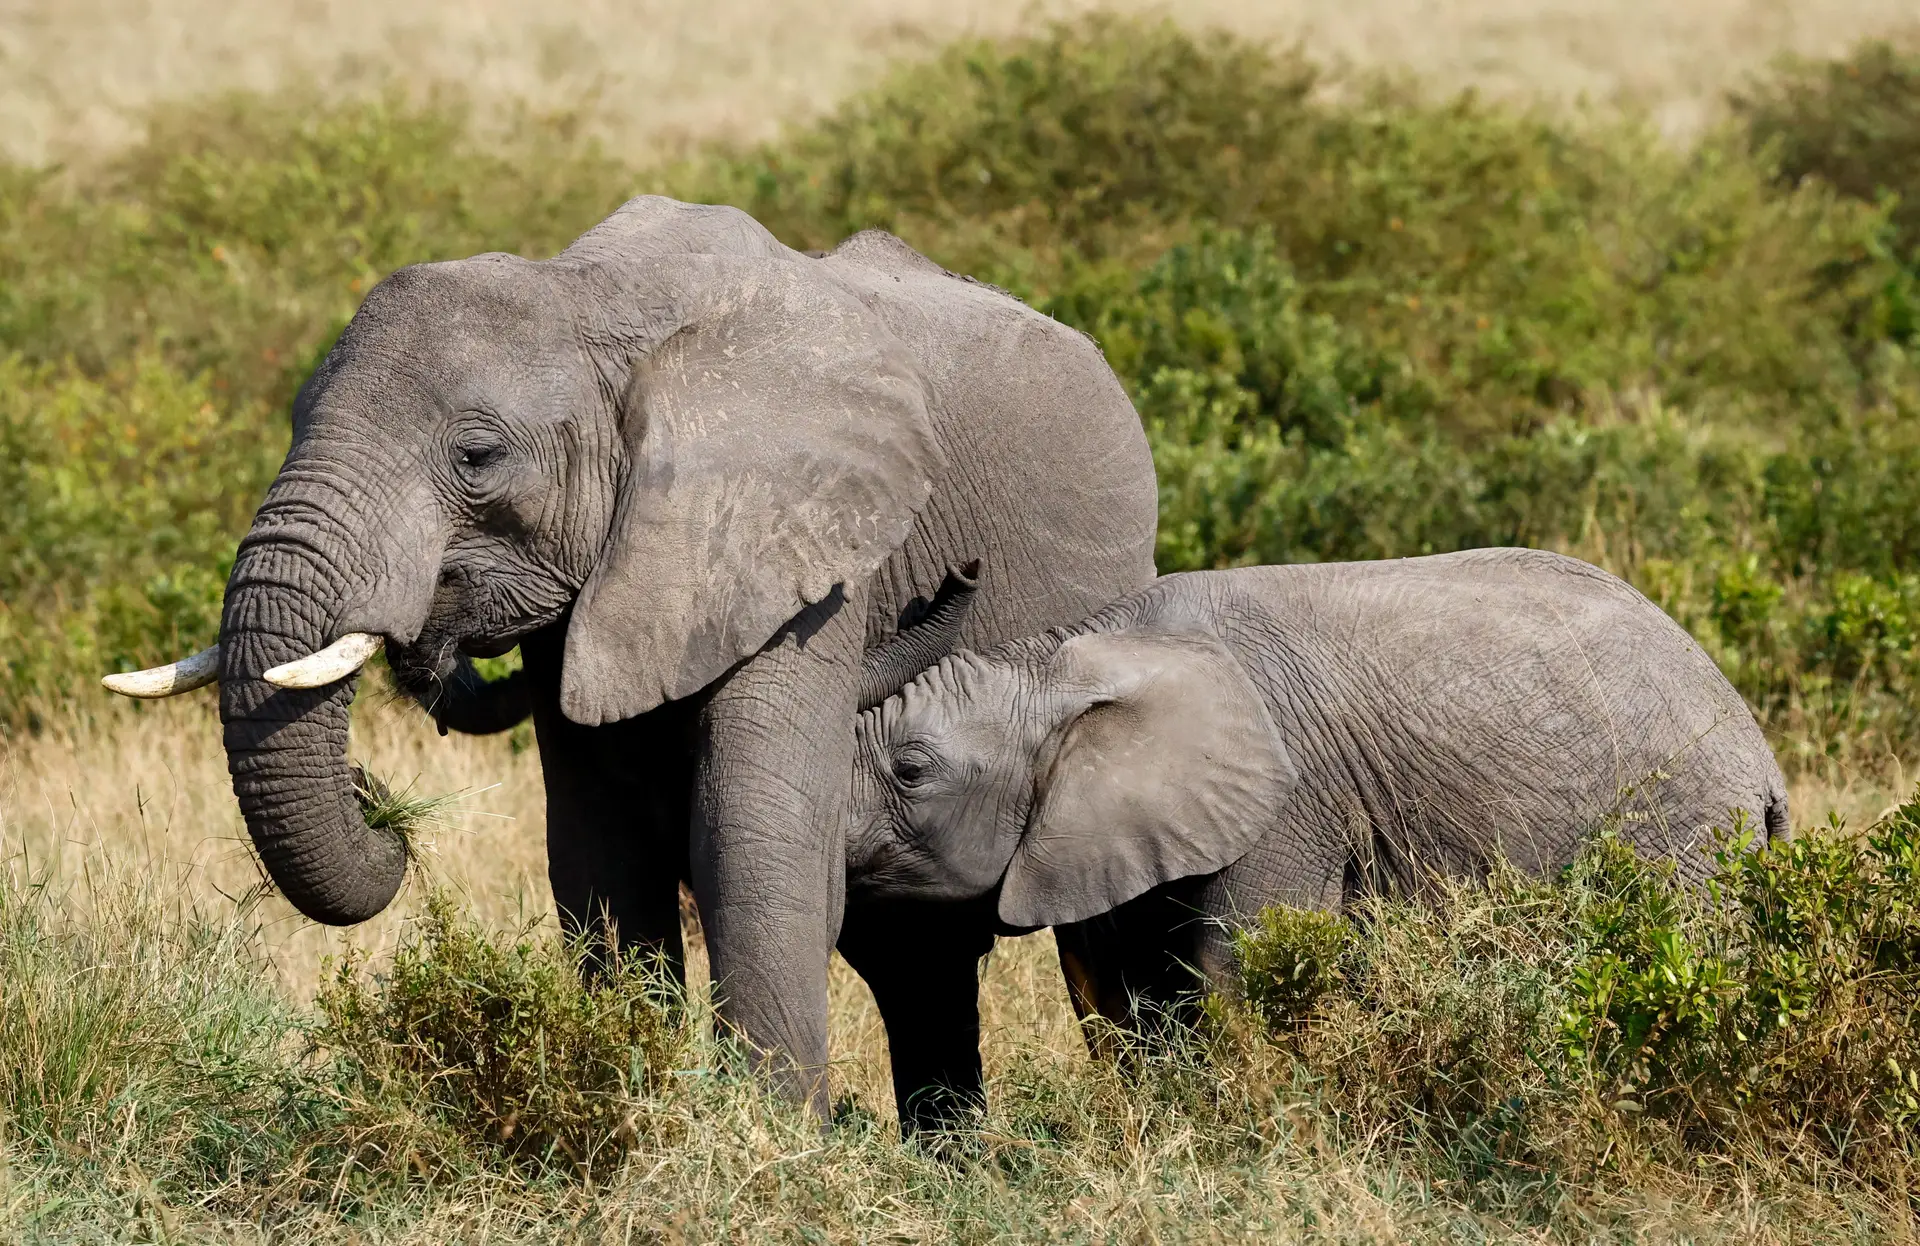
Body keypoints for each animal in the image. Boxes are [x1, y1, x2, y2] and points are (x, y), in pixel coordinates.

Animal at [103, 195, 1160, 1128]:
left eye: (477, 457)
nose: (382, 804)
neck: (589, 302)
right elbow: (597, 853)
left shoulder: (805, 555)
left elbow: (750, 836)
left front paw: (768, 1145)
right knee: (918, 961)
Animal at [847, 548, 1790, 1032]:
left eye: (911, 769)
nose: (958, 567)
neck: (1065, 654)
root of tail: (1763, 758)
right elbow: (1131, 984)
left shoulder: (1288, 800)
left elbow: (1236, 966)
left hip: (1684, 831)